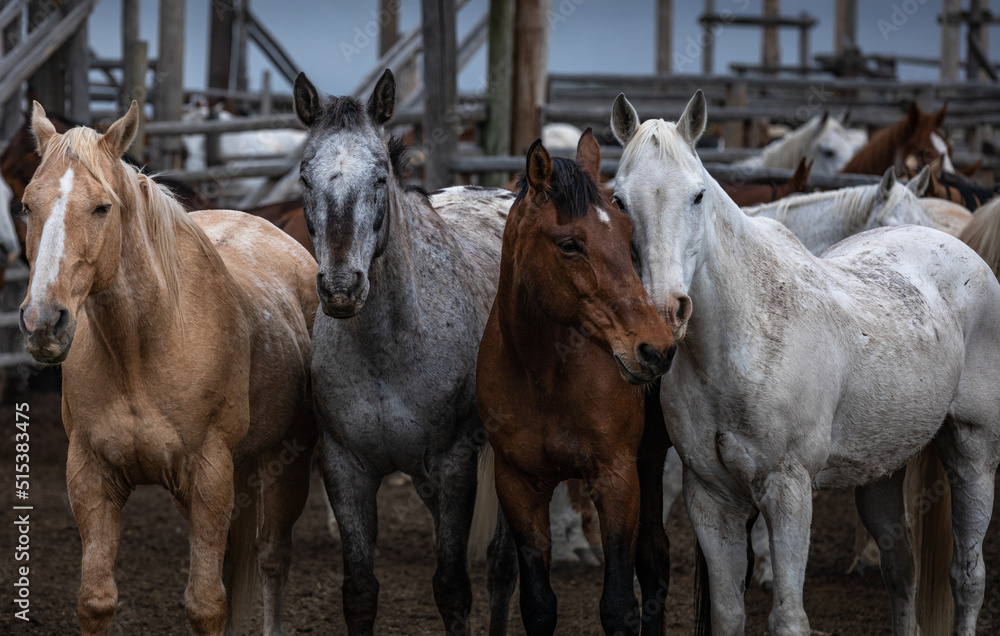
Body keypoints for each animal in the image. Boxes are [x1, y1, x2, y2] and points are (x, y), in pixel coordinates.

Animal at [19, 101, 318, 635]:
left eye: (102, 207)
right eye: (27, 206)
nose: (43, 322)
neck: (141, 350)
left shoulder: (209, 476)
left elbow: (206, 604)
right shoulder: (91, 475)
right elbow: (96, 600)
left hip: (289, 460)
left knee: (271, 558)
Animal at [294, 69, 507, 635]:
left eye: (378, 177)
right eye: (305, 177)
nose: (341, 287)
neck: (385, 355)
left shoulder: (455, 466)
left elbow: (453, 589)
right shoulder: (345, 468)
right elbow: (360, 592)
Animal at [479, 133, 676, 636]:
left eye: (627, 235)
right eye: (570, 244)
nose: (656, 349)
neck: (544, 376)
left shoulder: (616, 477)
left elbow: (619, 606)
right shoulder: (519, 486)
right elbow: (538, 604)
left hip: (651, 461)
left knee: (654, 560)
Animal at [611, 90, 1000, 636]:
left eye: (698, 195)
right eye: (620, 202)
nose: (666, 311)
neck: (741, 340)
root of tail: (964, 250)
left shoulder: (788, 491)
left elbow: (789, 617)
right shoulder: (711, 498)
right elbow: (728, 613)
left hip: (974, 455)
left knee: (968, 576)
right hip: (880, 470)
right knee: (902, 568)